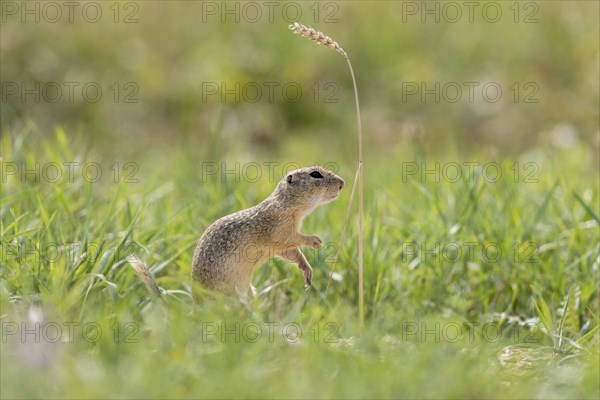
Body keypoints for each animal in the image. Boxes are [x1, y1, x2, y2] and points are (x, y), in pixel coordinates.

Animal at [131, 165, 346, 296]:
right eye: (315, 174)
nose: (343, 183)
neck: (287, 206)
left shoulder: (282, 243)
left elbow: (291, 252)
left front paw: (306, 270)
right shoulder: (278, 228)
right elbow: (290, 239)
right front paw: (315, 240)